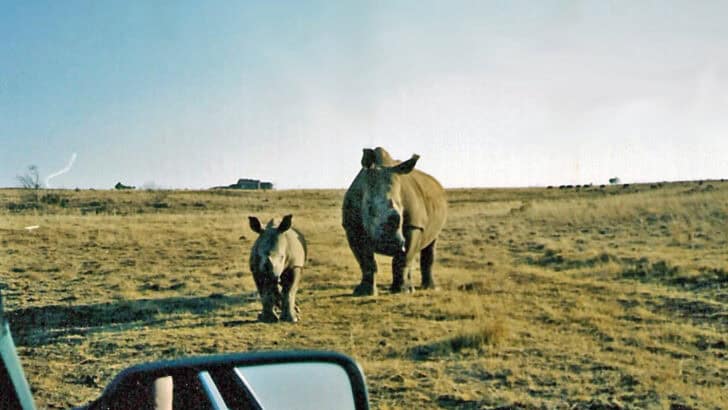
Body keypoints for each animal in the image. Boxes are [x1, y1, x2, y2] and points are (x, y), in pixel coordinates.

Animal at [342, 147, 447, 296]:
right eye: (369, 208)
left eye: (402, 210)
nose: (391, 244)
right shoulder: (352, 227)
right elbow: (365, 261)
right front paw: (363, 292)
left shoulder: (413, 225)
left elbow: (402, 259)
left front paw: (402, 291)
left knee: (430, 244)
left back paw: (427, 288)